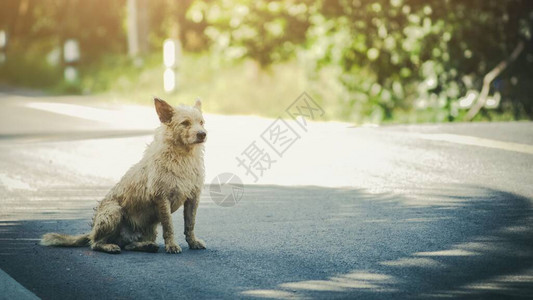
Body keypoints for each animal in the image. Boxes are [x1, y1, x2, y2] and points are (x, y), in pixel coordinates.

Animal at [40, 98, 207, 253]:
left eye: (201, 122)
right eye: (185, 123)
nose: (202, 134)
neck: (183, 156)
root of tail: (92, 231)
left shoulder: (193, 197)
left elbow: (190, 223)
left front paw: (193, 242)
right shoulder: (162, 197)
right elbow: (168, 225)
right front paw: (171, 245)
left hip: (149, 228)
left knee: (128, 245)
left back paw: (146, 245)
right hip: (113, 212)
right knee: (95, 243)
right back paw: (109, 246)